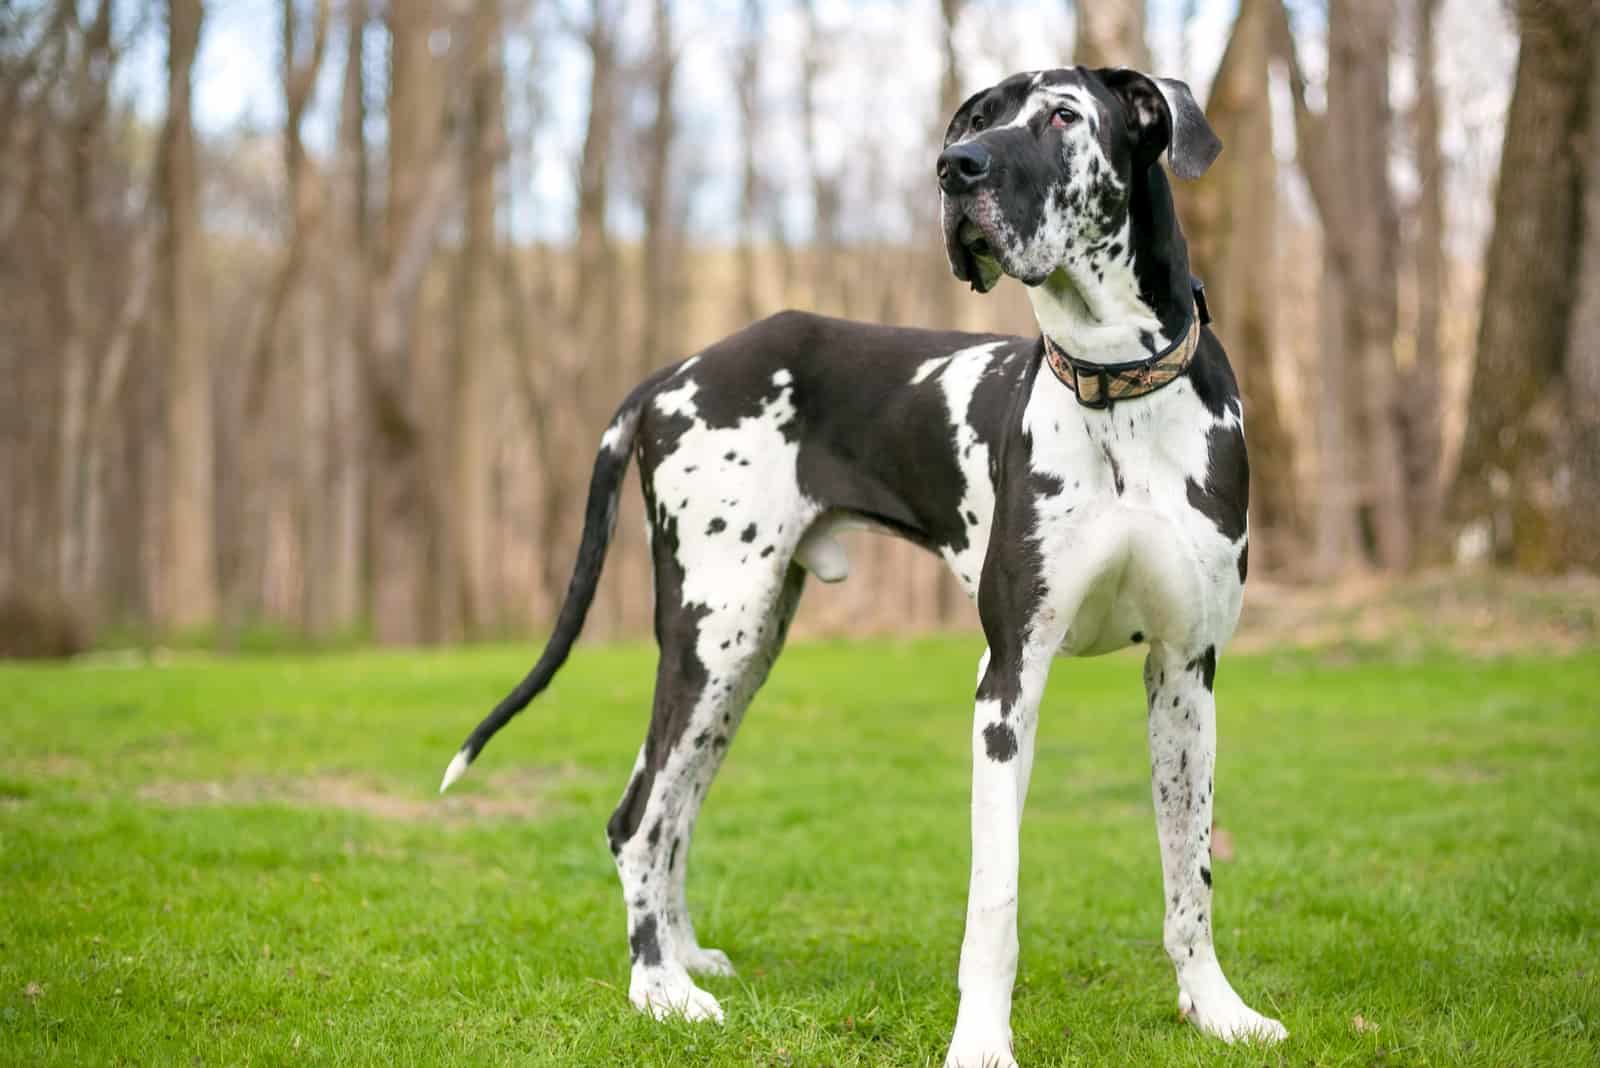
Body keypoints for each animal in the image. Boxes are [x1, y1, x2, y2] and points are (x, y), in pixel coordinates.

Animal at [438, 64, 1286, 1061]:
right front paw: (981, 1043)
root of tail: (673, 373)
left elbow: (1190, 872)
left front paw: (1217, 1009)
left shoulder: (1187, 671)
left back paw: (683, 958)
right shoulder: (1008, 682)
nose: (956, 168)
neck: (1118, 392)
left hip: (744, 655)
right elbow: (994, 901)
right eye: (978, 119)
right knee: (637, 818)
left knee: (675, 810)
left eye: (1061, 115)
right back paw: (659, 989)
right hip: (711, 636)